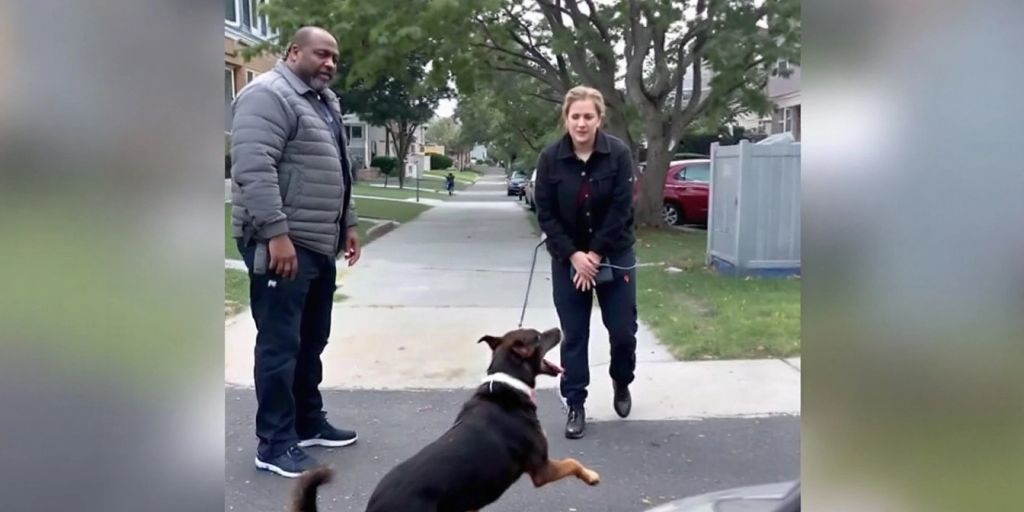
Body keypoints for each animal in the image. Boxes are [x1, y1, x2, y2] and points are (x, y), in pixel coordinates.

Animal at [290, 327, 598, 512]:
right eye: (539, 337)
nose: (560, 329)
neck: (508, 384)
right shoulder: (541, 469)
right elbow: (573, 462)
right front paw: (591, 476)